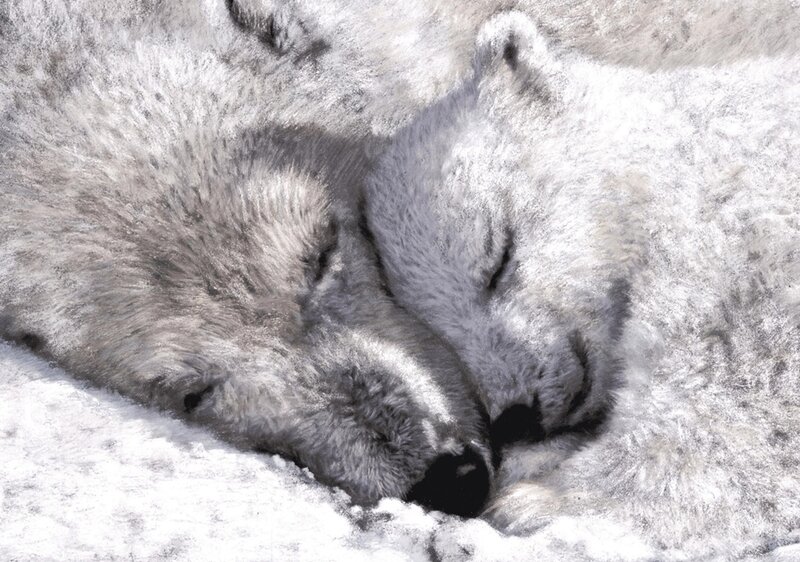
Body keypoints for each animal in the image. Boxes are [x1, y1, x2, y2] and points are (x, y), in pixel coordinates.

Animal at [364, 11, 800, 555]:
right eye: (438, 333)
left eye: (498, 255)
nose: (518, 415)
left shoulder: (739, 239)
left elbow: (732, 383)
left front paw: (538, 501)